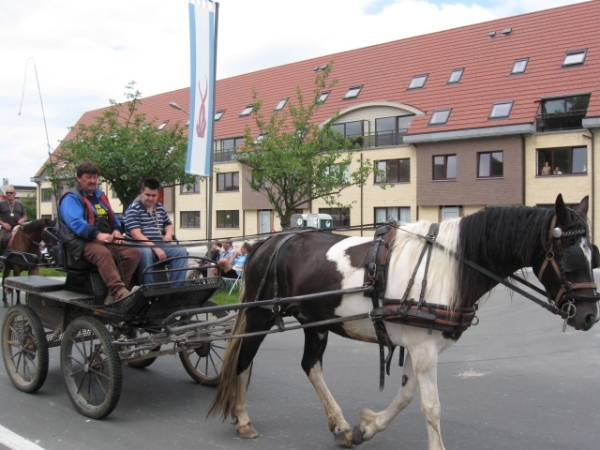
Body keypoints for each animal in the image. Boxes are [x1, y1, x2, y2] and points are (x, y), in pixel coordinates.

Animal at [209, 195, 596, 448]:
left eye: (594, 253)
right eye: (568, 255)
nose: (590, 315)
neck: (449, 265)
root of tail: (269, 242)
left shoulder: (417, 344)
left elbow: (408, 395)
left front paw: (367, 428)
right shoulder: (424, 348)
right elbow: (431, 406)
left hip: (314, 322)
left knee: (310, 367)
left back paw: (340, 425)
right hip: (260, 314)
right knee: (243, 360)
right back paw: (243, 419)